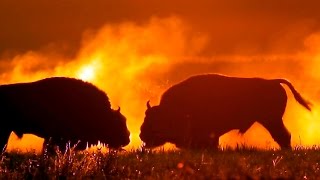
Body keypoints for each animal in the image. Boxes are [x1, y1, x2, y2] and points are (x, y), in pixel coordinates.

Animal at [140, 74, 310, 150]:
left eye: (153, 120)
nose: (141, 135)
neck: (172, 110)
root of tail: (273, 81)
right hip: (271, 121)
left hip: (271, 120)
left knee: (283, 136)